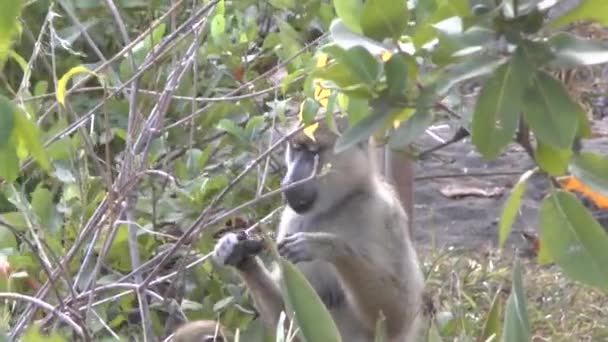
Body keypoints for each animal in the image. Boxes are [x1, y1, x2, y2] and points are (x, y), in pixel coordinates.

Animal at [209, 117, 422, 340]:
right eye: (296, 149)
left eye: (313, 152)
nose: (290, 181)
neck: (338, 204)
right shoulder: (291, 220)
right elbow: (287, 319)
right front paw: (237, 253)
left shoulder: (381, 215)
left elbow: (396, 317)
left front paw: (326, 245)